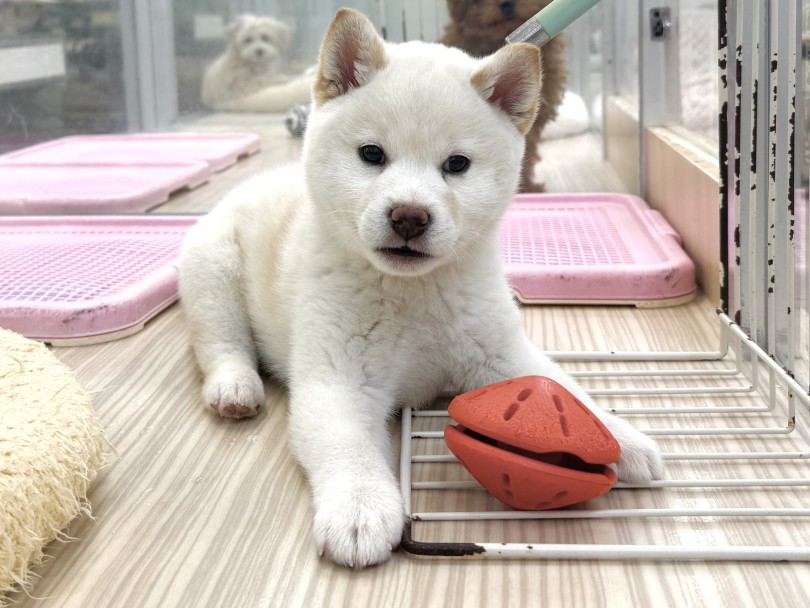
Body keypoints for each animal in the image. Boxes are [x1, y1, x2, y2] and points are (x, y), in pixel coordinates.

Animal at [178, 8, 664, 568]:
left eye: (456, 164)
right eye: (372, 154)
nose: (409, 216)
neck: (414, 297)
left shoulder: (498, 352)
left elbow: (563, 388)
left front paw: (619, 434)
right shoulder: (338, 382)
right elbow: (349, 447)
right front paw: (360, 508)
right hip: (213, 268)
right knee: (221, 341)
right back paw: (235, 387)